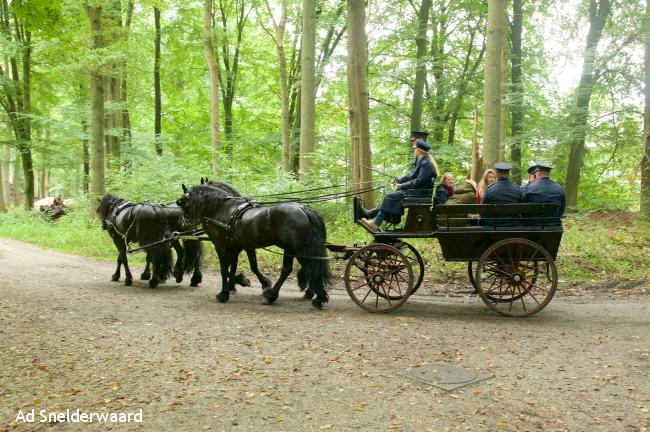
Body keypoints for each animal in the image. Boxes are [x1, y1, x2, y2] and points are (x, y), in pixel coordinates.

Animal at [176, 181, 330, 308]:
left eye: (182, 202)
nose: (182, 223)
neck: (222, 209)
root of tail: (304, 209)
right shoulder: (241, 247)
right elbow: (242, 267)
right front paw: (242, 283)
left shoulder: (221, 247)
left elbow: (224, 270)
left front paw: (224, 293)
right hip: (297, 249)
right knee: (309, 267)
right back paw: (316, 296)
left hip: (295, 249)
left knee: (294, 269)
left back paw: (273, 296)